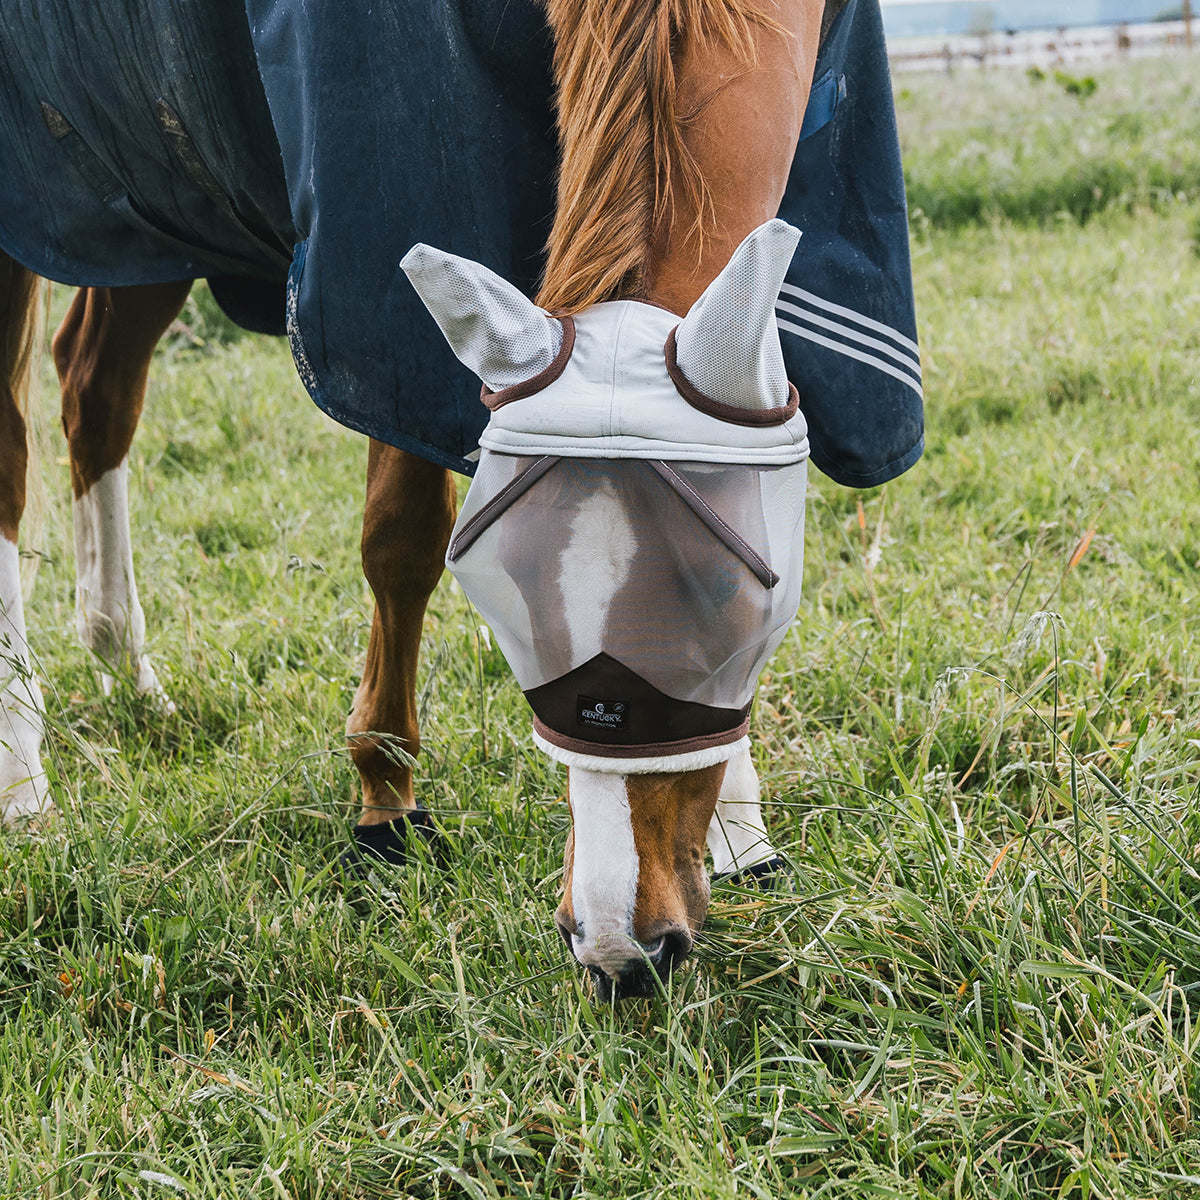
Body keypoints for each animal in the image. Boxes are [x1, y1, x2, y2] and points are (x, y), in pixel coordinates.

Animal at [0, 0, 920, 1000]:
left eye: (735, 605)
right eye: (503, 601)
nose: (616, 949)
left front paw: (740, 828)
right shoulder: (383, 275)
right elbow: (401, 542)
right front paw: (385, 800)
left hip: (151, 205)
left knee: (95, 386)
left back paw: (125, 662)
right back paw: (20, 771)